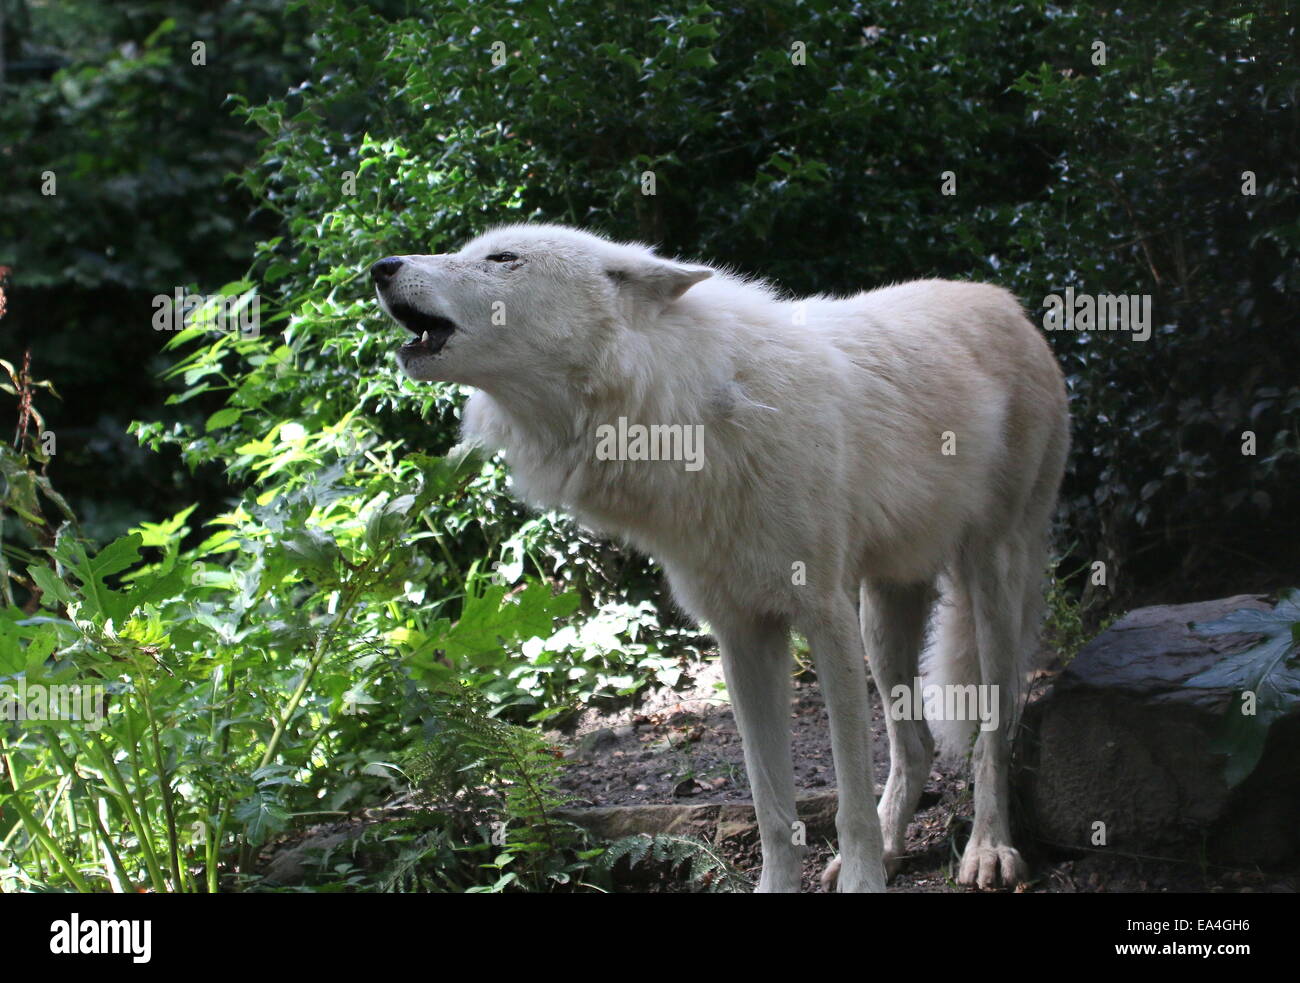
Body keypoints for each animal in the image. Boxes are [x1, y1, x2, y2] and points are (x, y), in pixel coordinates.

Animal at [374, 226, 1066, 894]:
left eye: (503, 259)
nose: (381, 266)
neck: (686, 409)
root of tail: (1003, 301)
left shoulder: (824, 618)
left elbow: (848, 804)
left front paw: (864, 882)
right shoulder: (740, 634)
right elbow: (771, 806)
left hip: (988, 582)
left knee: (993, 735)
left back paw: (988, 851)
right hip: (884, 608)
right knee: (914, 747)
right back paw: (900, 848)